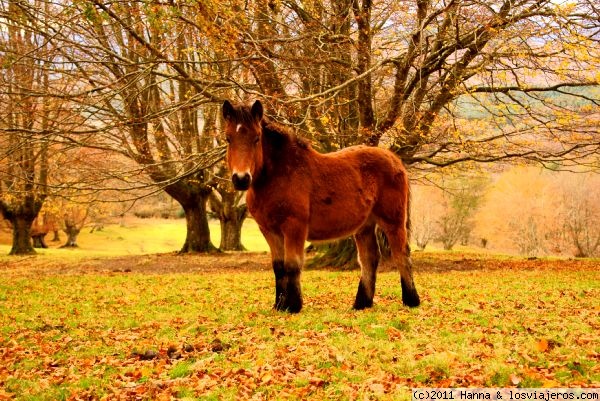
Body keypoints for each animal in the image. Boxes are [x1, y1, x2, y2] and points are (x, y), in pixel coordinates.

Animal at [223, 100, 420, 312]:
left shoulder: (294, 227)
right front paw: (279, 305)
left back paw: (411, 300)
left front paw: (293, 305)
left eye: (257, 138)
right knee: (369, 259)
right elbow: (279, 267)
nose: (241, 179)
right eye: (228, 139)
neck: (280, 175)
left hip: (393, 222)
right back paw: (361, 304)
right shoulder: (269, 231)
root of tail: (395, 160)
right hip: (365, 226)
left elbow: (292, 264)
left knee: (402, 255)